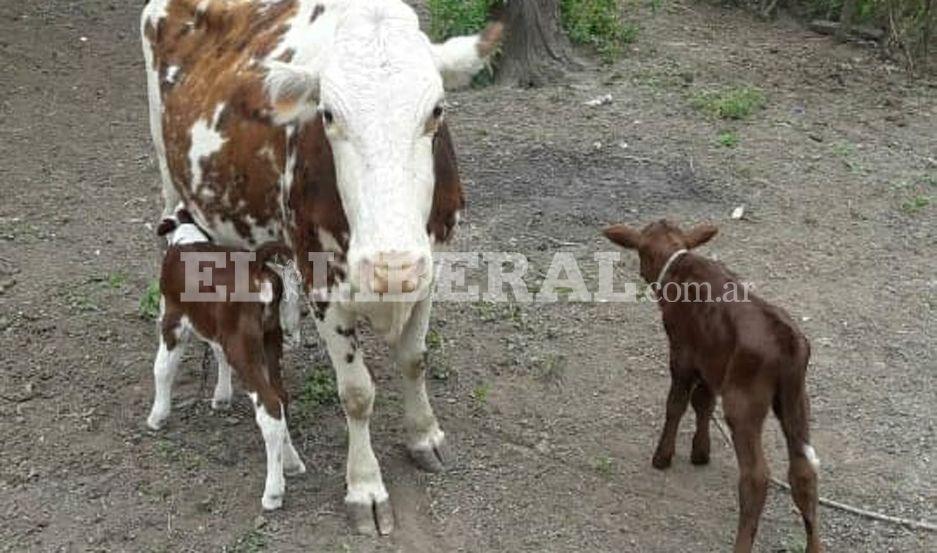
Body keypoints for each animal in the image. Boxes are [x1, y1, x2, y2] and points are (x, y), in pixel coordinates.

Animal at [140, 0, 500, 536]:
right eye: (328, 114)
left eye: (437, 109)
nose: (390, 267)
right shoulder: (324, 285)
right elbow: (356, 392)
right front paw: (365, 487)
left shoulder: (431, 266)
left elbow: (414, 360)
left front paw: (425, 437)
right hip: (171, 176)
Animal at [608, 220, 820, 552]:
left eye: (640, 251)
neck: (678, 263)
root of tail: (787, 341)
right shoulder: (709, 360)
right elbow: (703, 403)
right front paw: (700, 452)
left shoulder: (682, 353)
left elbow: (677, 404)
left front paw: (663, 456)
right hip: (796, 398)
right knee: (804, 473)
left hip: (743, 400)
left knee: (756, 477)